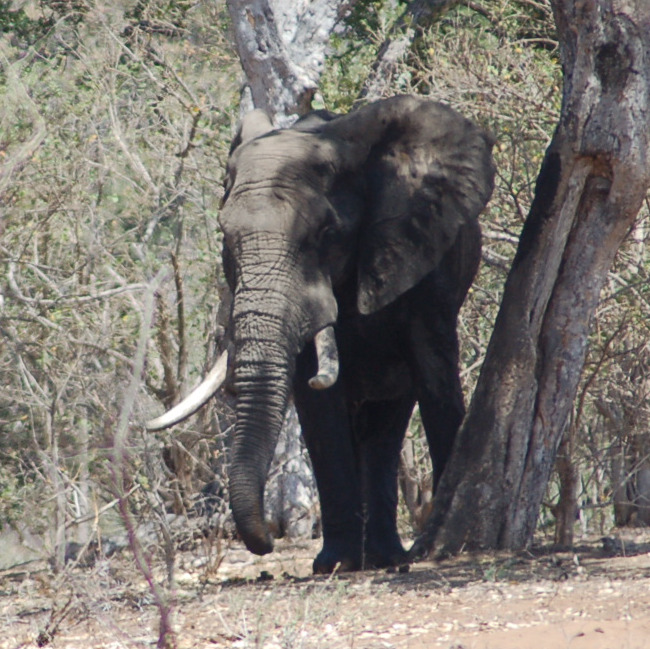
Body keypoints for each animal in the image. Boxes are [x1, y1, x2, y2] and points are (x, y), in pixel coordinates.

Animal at [147, 95, 495, 572]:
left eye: (326, 234)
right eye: (225, 239)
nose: (266, 544)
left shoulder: (422, 258)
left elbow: (435, 377)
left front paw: (429, 547)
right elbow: (318, 406)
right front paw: (336, 564)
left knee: (389, 417)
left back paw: (388, 556)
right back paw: (373, 557)